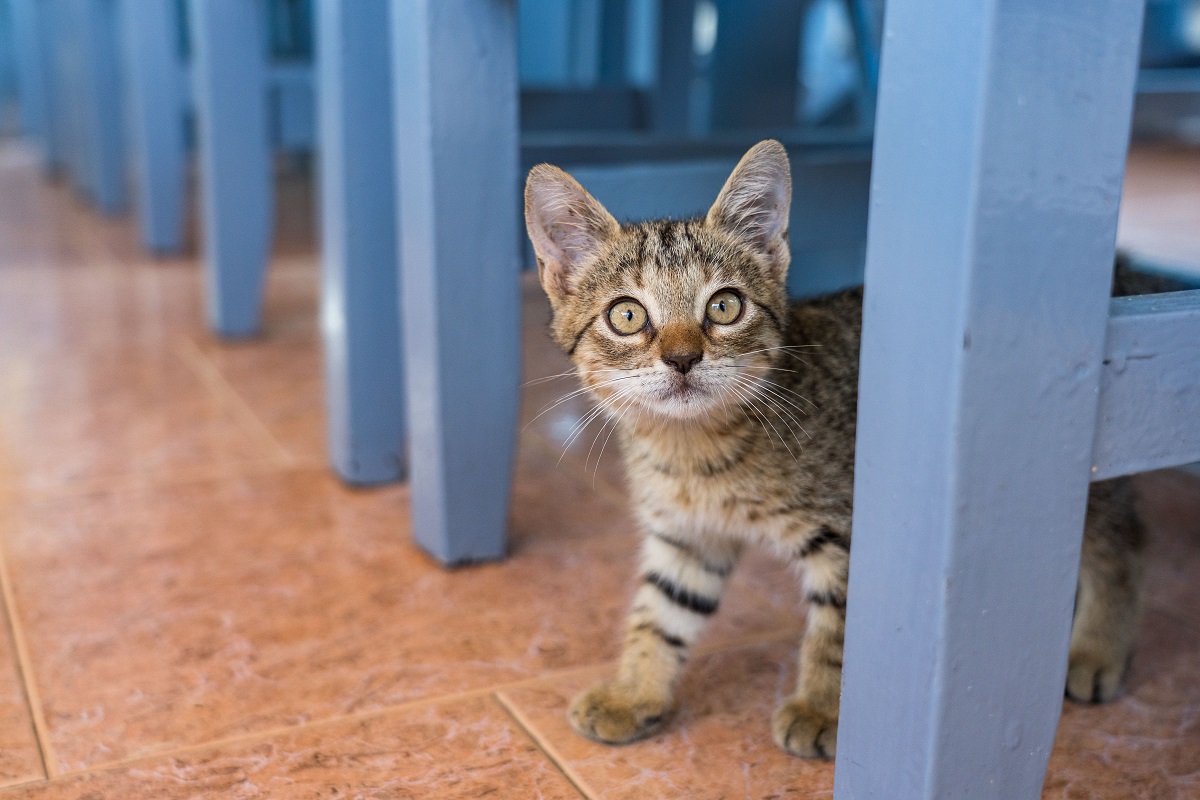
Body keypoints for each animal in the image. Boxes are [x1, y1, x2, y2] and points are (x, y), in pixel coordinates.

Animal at [525, 140, 1142, 762]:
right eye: (627, 315)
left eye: (724, 307)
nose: (682, 359)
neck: (694, 450)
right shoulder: (686, 537)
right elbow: (660, 614)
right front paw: (634, 692)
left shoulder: (854, 532)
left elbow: (839, 632)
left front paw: (822, 708)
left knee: (1123, 539)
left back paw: (1096, 649)